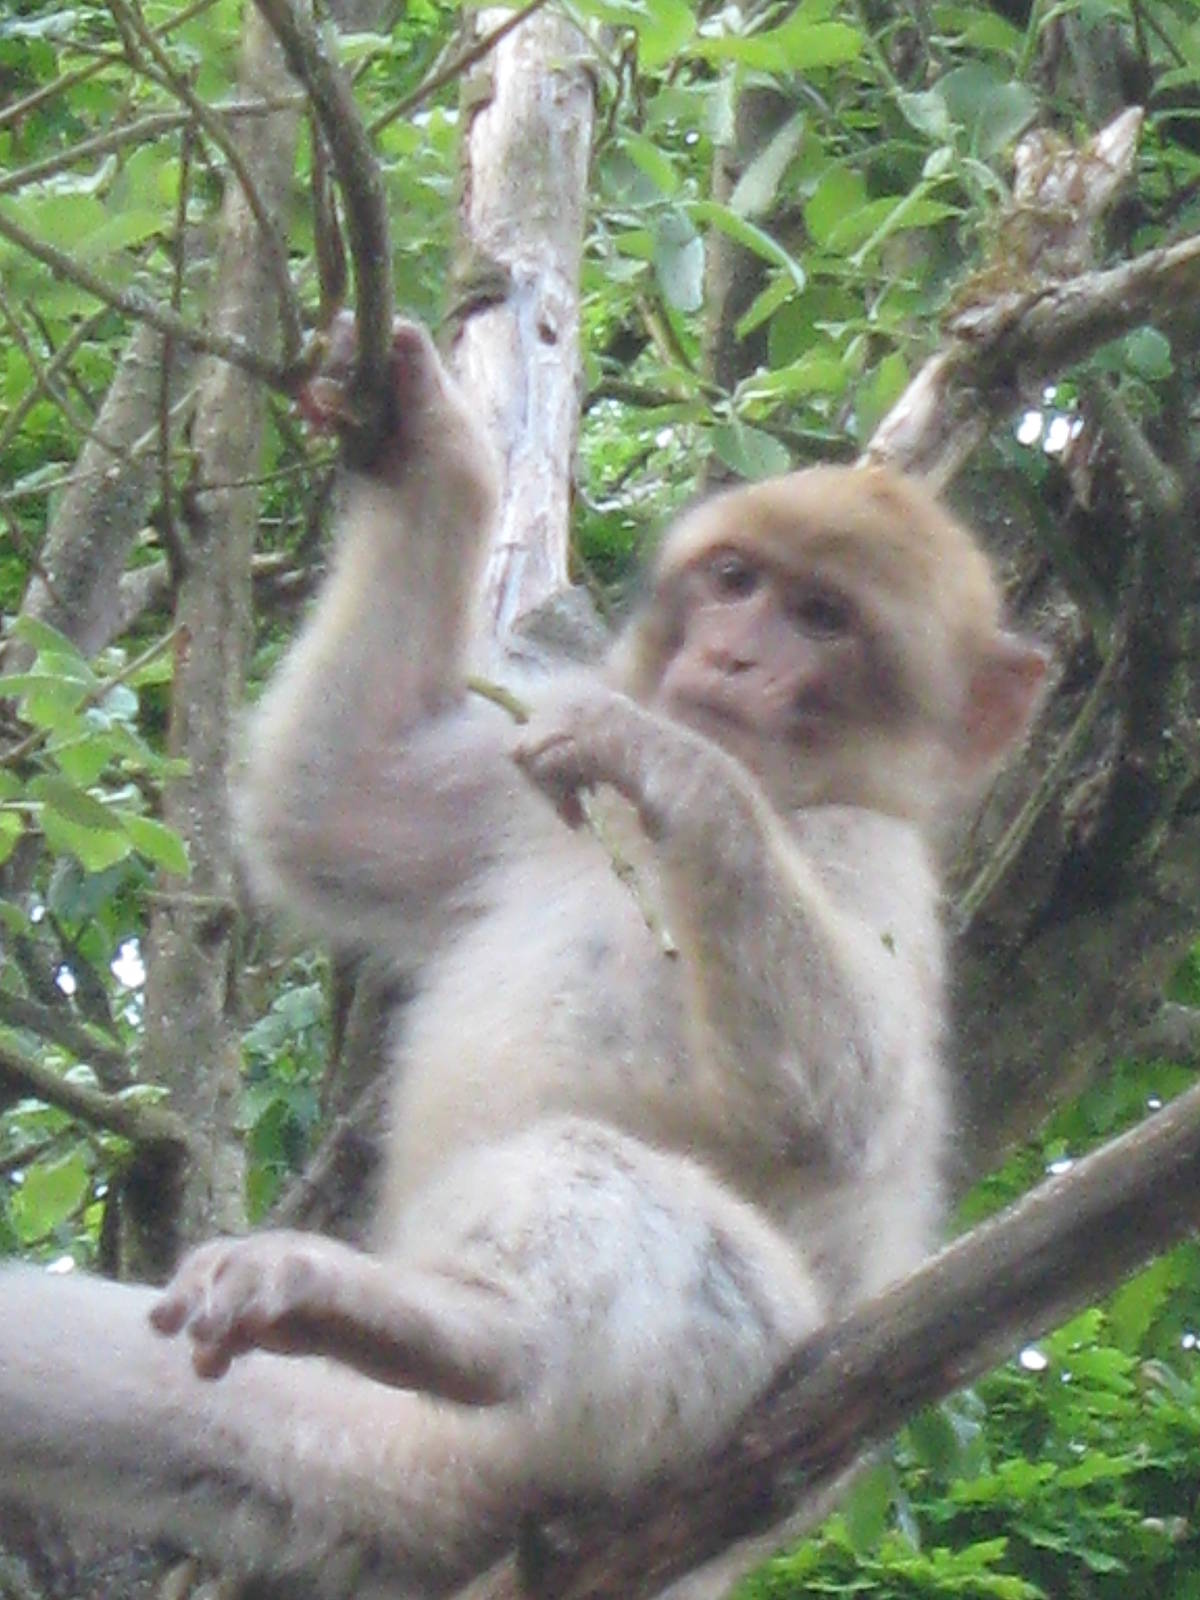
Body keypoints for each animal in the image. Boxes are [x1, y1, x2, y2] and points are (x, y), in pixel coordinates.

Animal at [0, 318, 1047, 1596]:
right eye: (738, 583)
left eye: (822, 618)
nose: (734, 659)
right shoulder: (505, 790)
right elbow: (332, 811)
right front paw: (424, 444)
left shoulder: (873, 857)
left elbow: (845, 1104)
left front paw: (674, 765)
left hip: (720, 1388)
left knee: (631, 1210)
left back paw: (445, 1326)